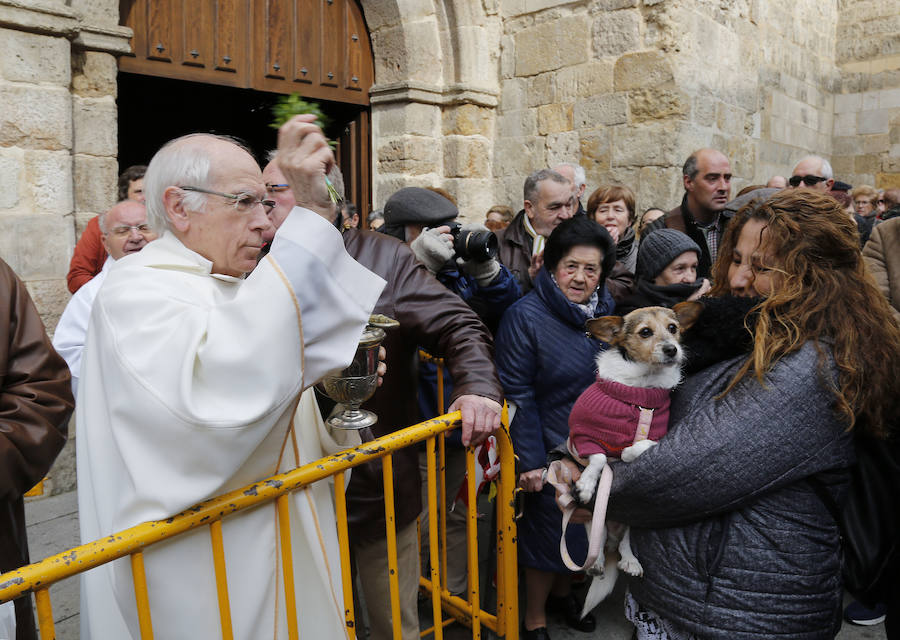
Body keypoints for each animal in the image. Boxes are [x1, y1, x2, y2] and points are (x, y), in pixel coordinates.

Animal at [568, 302, 700, 616]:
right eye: (645, 332)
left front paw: (630, 451)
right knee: (596, 538)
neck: (643, 386)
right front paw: (587, 484)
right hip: (596, 518)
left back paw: (629, 560)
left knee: (626, 542)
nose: (672, 349)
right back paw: (597, 562)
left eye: (673, 328)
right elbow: (599, 458)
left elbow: (643, 444)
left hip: (634, 520)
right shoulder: (582, 437)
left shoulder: (661, 434)